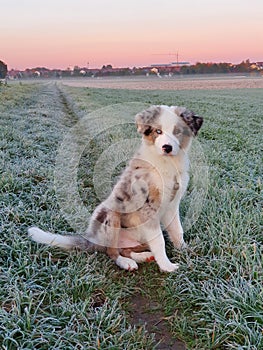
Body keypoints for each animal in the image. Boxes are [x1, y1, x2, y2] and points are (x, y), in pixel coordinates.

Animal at [27, 105, 203, 272]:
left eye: (177, 131)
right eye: (158, 131)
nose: (167, 147)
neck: (167, 164)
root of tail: (92, 238)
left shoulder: (172, 205)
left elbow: (177, 230)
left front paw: (186, 252)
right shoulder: (147, 208)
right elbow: (159, 241)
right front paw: (167, 266)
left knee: (127, 249)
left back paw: (144, 256)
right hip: (111, 216)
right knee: (111, 251)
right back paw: (126, 262)